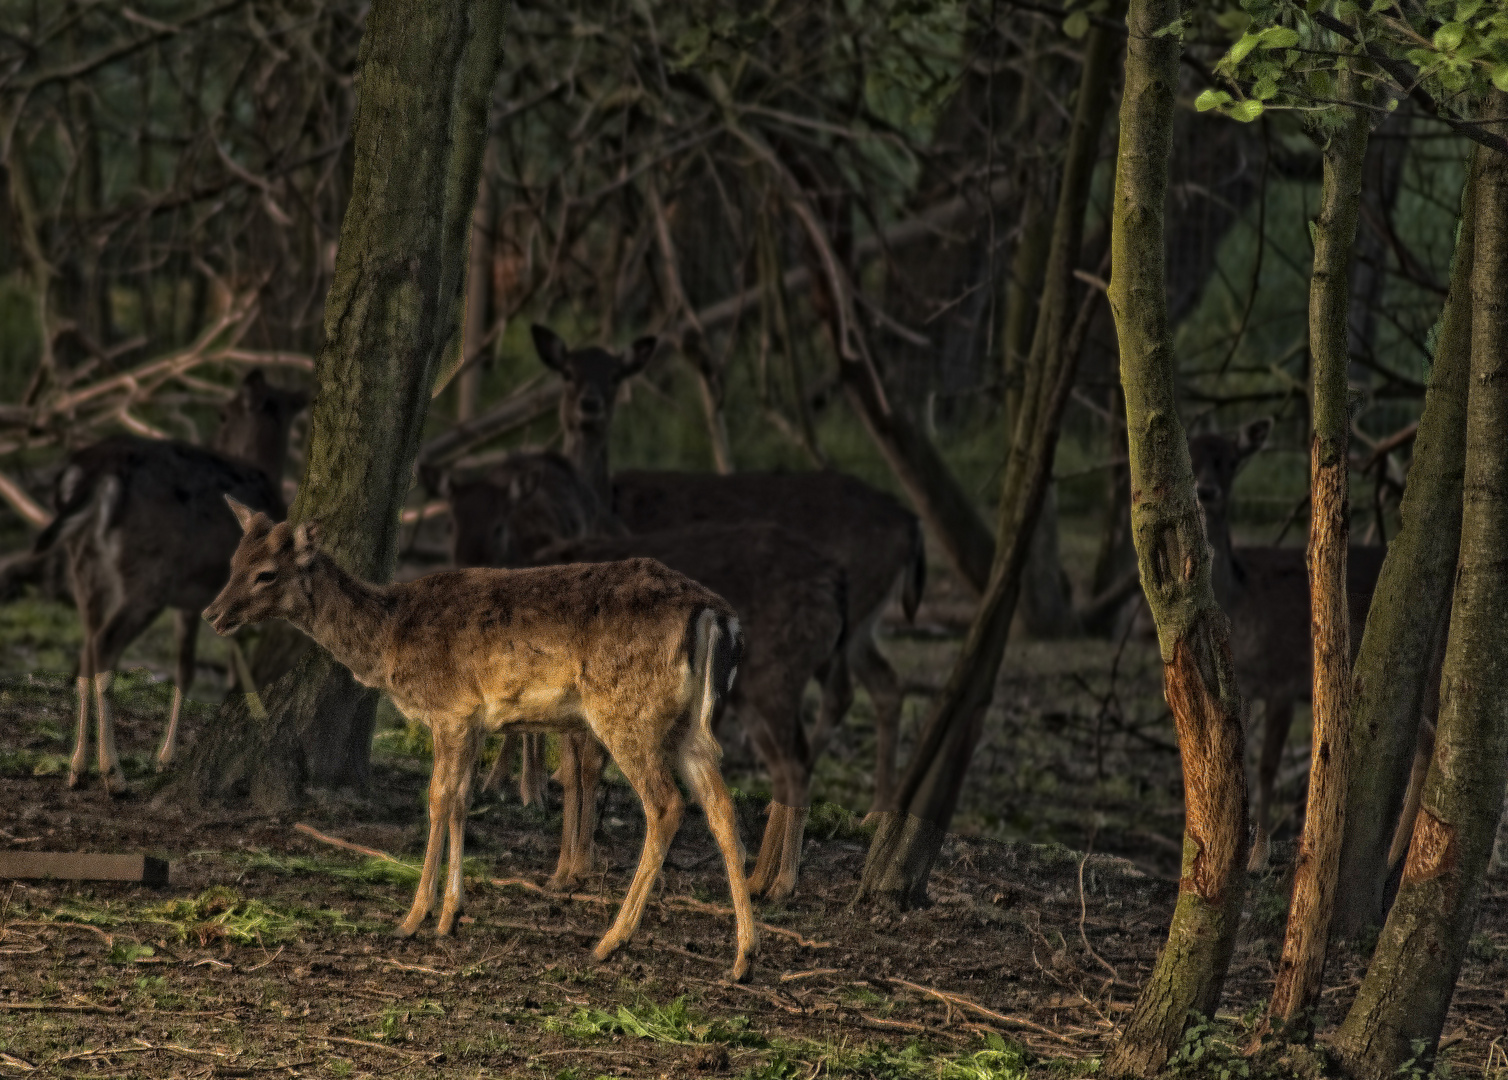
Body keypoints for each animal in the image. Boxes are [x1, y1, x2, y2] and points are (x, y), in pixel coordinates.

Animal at [30, 371, 306, 790]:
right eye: (222, 413)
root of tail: (92, 472)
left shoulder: (191, 600)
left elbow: (185, 668)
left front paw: (165, 758)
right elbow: (229, 661)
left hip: (85, 564)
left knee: (86, 648)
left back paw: (77, 768)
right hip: (148, 572)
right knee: (105, 646)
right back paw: (113, 774)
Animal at [202, 497, 760, 977]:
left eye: (266, 572)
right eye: (233, 560)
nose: (213, 613)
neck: (389, 641)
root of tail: (717, 615)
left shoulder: (449, 709)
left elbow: (437, 799)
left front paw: (413, 918)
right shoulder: (472, 721)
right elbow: (463, 800)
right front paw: (451, 914)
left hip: (626, 711)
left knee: (666, 804)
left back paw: (610, 940)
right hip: (686, 725)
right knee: (721, 805)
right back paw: (743, 957)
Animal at [530, 324, 928, 814]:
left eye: (617, 376)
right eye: (566, 372)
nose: (589, 405)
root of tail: (912, 523)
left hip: (841, 622)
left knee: (837, 700)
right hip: (861, 625)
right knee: (884, 685)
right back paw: (875, 809)